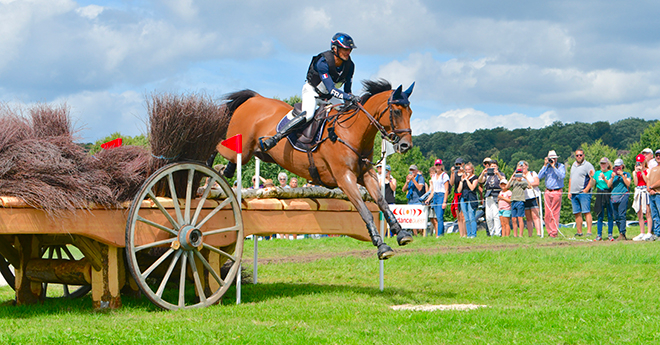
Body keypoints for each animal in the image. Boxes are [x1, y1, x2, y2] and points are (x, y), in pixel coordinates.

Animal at [217, 80, 412, 258]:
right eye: (396, 111)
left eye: (410, 112)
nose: (405, 146)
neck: (353, 132)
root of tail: (254, 98)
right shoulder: (344, 178)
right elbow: (365, 211)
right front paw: (382, 246)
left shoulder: (366, 175)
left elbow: (382, 202)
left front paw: (401, 233)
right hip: (238, 147)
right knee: (218, 150)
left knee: (229, 165)